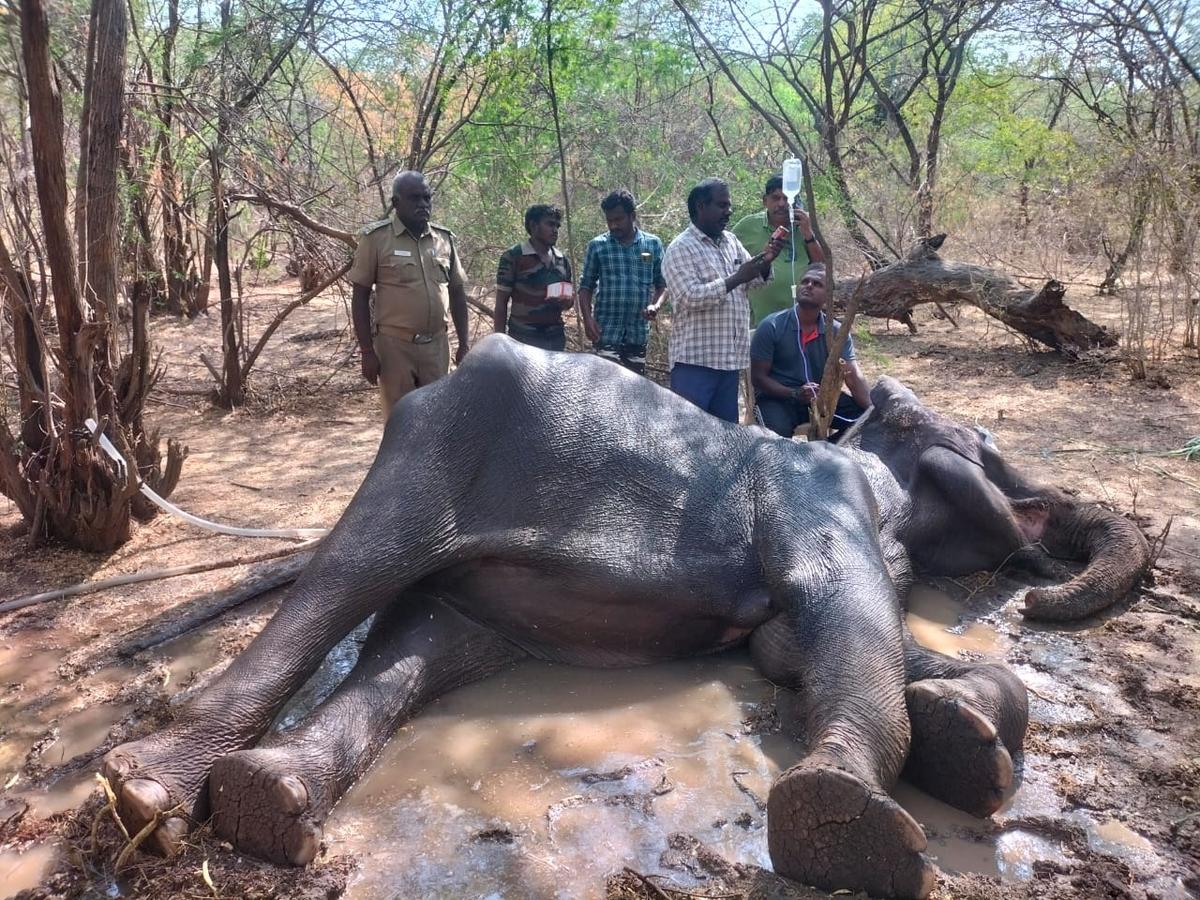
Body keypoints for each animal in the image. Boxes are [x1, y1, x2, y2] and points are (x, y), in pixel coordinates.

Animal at [100, 335, 1149, 899]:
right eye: (987, 442)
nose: (1039, 584)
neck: (850, 436)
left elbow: (797, 640)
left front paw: (971, 736)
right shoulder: (813, 493)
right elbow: (829, 602)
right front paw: (848, 827)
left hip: (474, 595)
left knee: (415, 650)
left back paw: (266, 801)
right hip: (432, 452)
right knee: (350, 576)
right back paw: (145, 794)